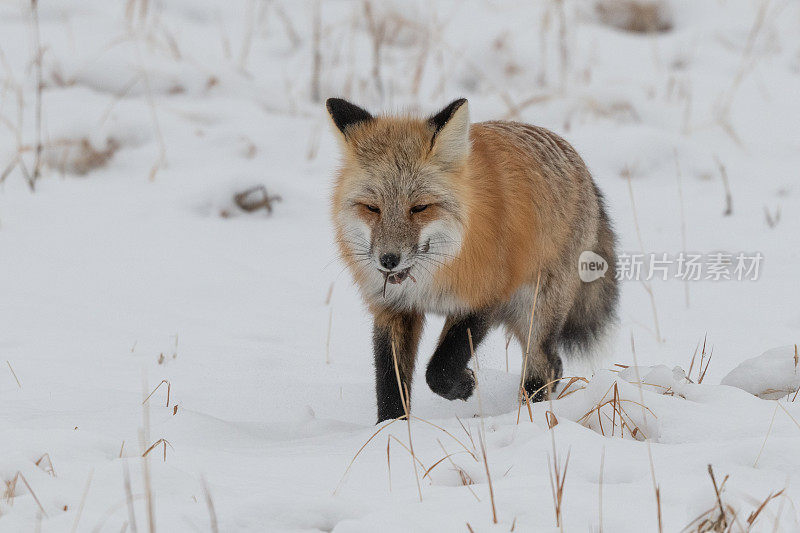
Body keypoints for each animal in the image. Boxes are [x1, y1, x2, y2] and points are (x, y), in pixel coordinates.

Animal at [324, 97, 620, 422]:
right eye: (372, 208)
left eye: (420, 208)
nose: (388, 259)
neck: (432, 278)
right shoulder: (393, 309)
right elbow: (390, 382)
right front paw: (389, 428)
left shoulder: (483, 298)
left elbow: (439, 370)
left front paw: (462, 386)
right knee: (555, 364)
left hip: (535, 310)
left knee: (541, 366)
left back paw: (529, 413)